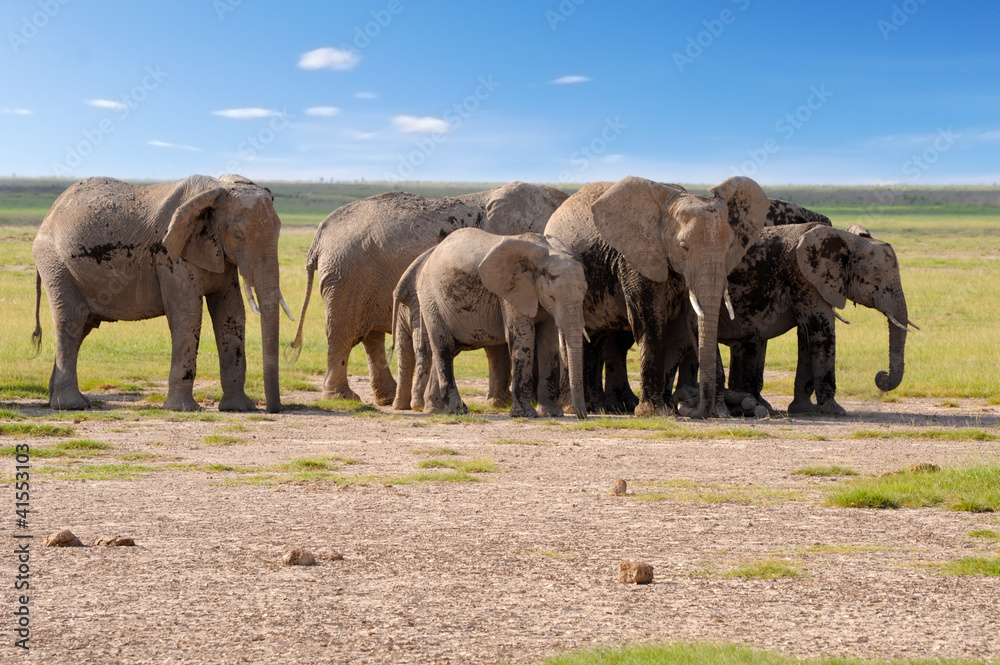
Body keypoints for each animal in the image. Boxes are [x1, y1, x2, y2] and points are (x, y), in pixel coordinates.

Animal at [31, 174, 291, 412]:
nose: (274, 409)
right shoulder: (171, 255)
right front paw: (183, 409)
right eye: (238, 236)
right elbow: (188, 316)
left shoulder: (217, 253)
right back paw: (72, 405)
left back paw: (59, 401)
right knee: (71, 322)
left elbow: (231, 314)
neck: (216, 190)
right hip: (56, 264)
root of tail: (49, 213)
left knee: (83, 327)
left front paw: (238, 408)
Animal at [289, 182, 569, 405]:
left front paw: (501, 403)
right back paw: (343, 398)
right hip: (345, 277)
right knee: (343, 333)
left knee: (371, 337)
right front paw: (507, 403)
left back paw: (387, 399)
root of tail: (320, 232)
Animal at [409, 228, 589, 419]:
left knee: (449, 350)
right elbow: (523, 338)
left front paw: (551, 414)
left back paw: (438, 411)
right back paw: (459, 410)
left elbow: (548, 343)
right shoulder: (510, 293)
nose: (582, 415)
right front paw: (524, 414)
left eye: (585, 293)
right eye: (552, 297)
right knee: (444, 347)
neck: (546, 253)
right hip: (431, 301)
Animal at [544, 175, 770, 418]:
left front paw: (715, 413)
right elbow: (648, 321)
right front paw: (654, 412)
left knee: (596, 338)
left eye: (729, 246)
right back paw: (576, 407)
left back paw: (601, 406)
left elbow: (694, 321)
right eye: (683, 247)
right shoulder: (635, 259)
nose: (694, 410)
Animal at [716, 222, 915, 415]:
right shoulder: (805, 277)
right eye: (877, 278)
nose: (882, 376)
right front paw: (834, 410)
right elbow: (821, 332)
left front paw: (804, 409)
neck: (846, 240)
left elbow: (807, 335)